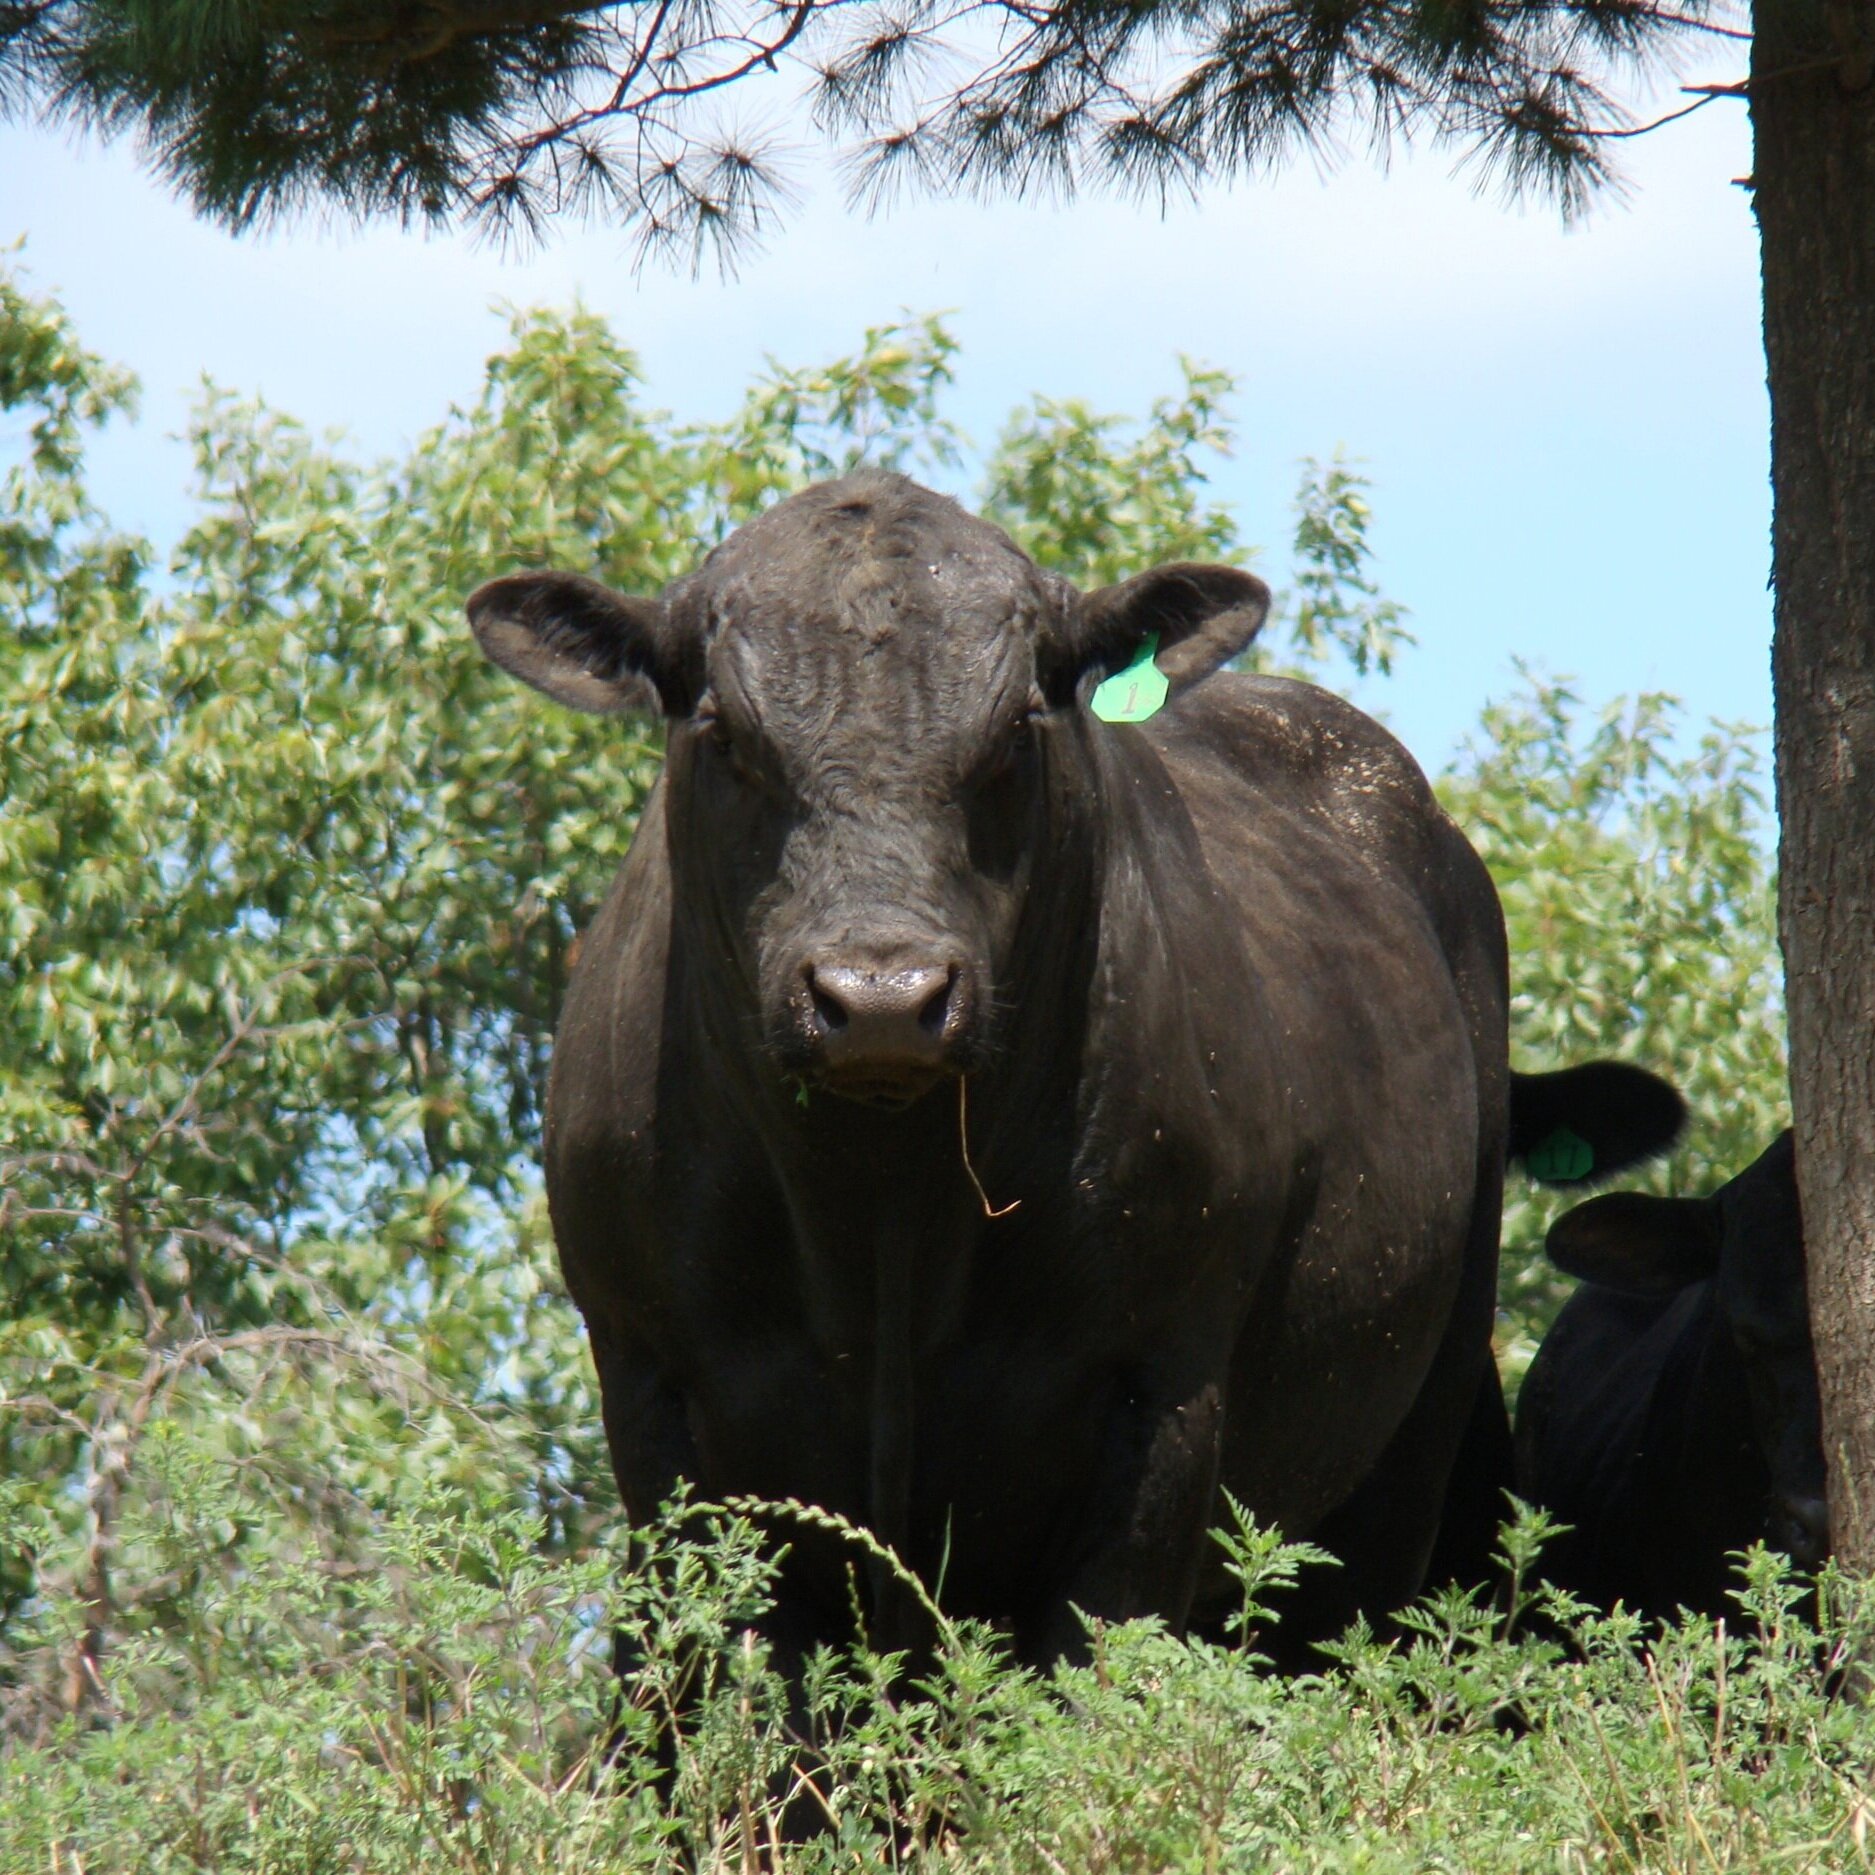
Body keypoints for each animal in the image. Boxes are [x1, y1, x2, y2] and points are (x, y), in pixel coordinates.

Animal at [467, 469, 1678, 1668]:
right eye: (723, 729)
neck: (881, 1223)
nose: (881, 997)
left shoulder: (1160, 1397)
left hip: (1413, 1430)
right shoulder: (653, 1389)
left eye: (1016, 726)